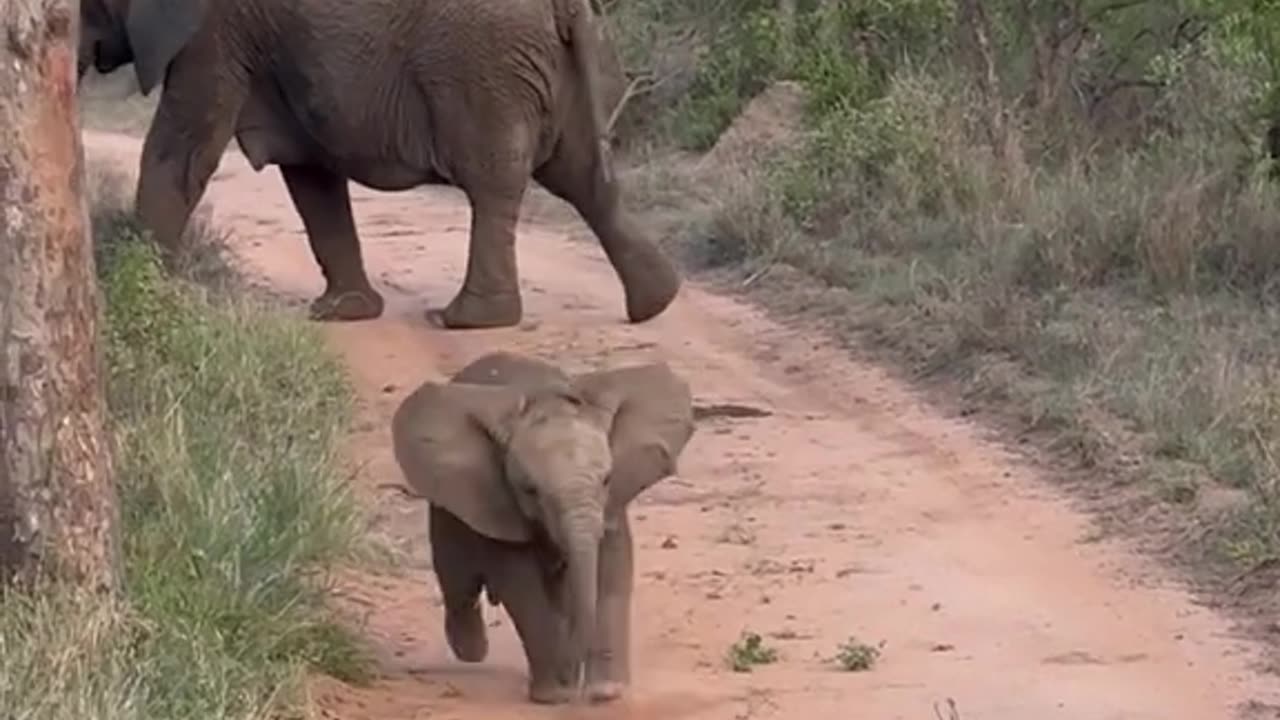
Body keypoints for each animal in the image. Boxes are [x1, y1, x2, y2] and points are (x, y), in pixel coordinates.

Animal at [76, 0, 686, 327]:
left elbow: (183, 149)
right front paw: (341, 312)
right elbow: (311, 176)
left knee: (495, 182)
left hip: (482, 68)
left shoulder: (212, 33)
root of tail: (567, 6)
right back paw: (656, 303)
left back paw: (466, 321)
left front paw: (138, 290)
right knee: (583, 179)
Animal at [389, 348, 696, 702]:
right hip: (449, 502)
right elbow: (522, 586)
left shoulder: (613, 498)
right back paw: (471, 651)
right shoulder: (497, 497)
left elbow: (612, 569)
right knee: (457, 578)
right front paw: (555, 696)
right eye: (530, 490)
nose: (572, 677)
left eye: (607, 479)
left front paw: (606, 693)